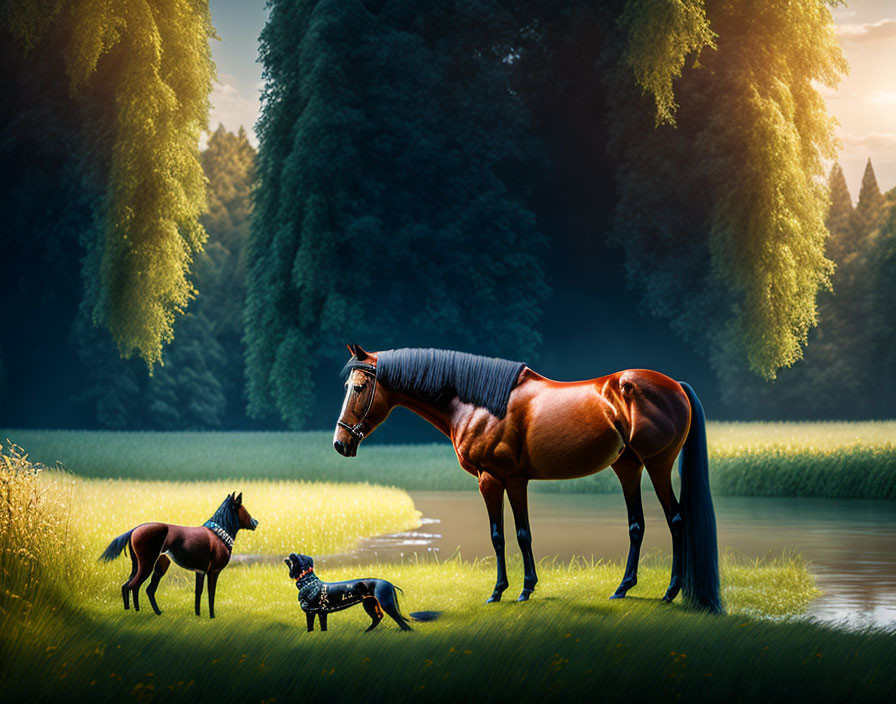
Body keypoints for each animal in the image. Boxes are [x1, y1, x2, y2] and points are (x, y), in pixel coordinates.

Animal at [99, 492, 258, 620]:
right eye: (243, 509)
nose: (255, 522)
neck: (217, 534)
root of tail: (135, 529)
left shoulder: (200, 572)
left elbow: (198, 593)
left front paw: (198, 615)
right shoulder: (213, 572)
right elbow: (211, 594)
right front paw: (212, 617)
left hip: (155, 566)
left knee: (141, 588)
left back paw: (153, 612)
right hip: (147, 565)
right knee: (131, 586)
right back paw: (133, 613)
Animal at [334, 346, 720, 612]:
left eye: (358, 388)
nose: (340, 443)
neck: (479, 404)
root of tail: (676, 386)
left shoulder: (491, 480)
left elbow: (500, 536)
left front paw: (500, 591)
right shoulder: (516, 481)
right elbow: (523, 534)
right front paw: (527, 588)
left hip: (658, 465)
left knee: (676, 519)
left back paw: (670, 592)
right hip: (628, 467)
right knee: (636, 525)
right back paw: (623, 588)